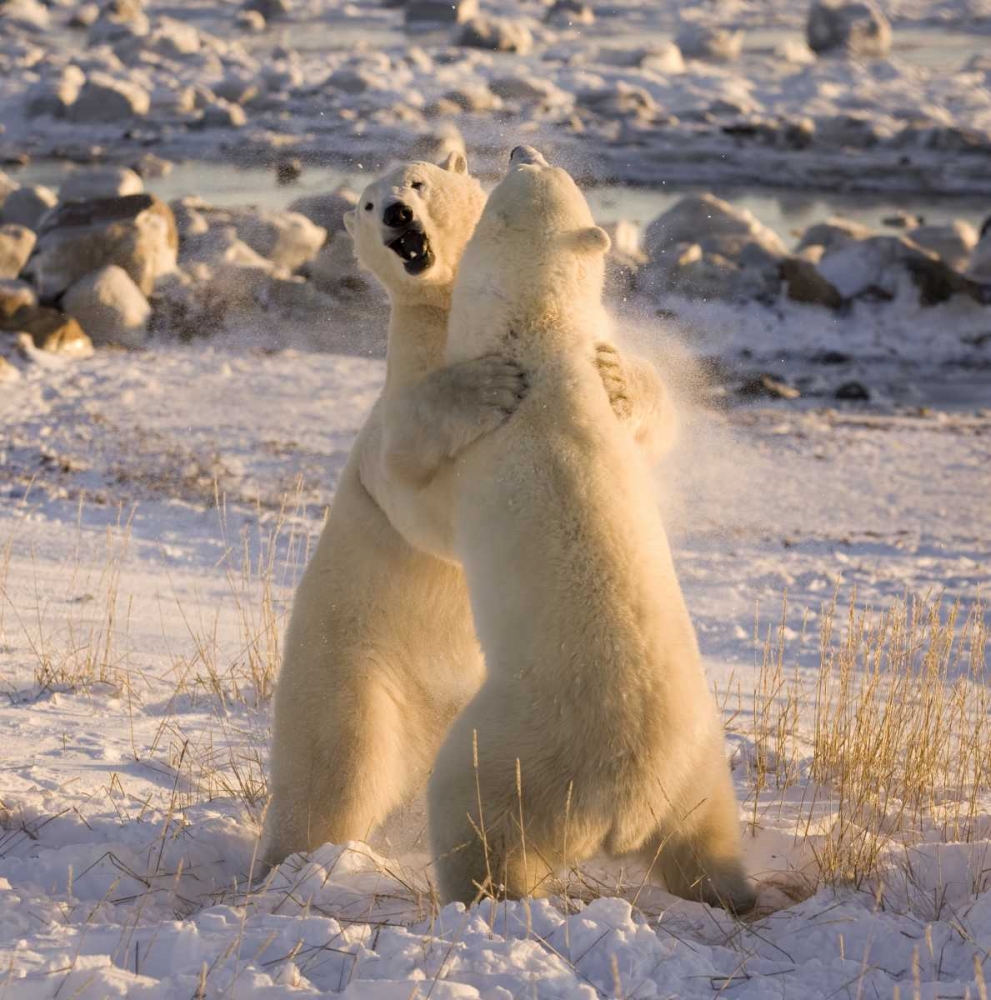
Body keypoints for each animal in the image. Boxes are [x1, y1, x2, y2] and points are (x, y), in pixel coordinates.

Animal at [260, 151, 672, 869]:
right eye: (366, 205)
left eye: (417, 182)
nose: (397, 215)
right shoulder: (396, 419)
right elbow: (410, 488)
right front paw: (487, 388)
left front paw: (619, 381)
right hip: (355, 664)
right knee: (339, 767)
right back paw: (292, 862)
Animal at [377, 147, 754, 913]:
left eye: (521, 177)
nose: (521, 147)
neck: (540, 334)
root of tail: (622, 805)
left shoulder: (483, 462)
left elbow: (427, 517)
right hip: (698, 762)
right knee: (705, 839)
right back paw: (736, 892)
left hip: (513, 751)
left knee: (470, 815)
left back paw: (472, 894)